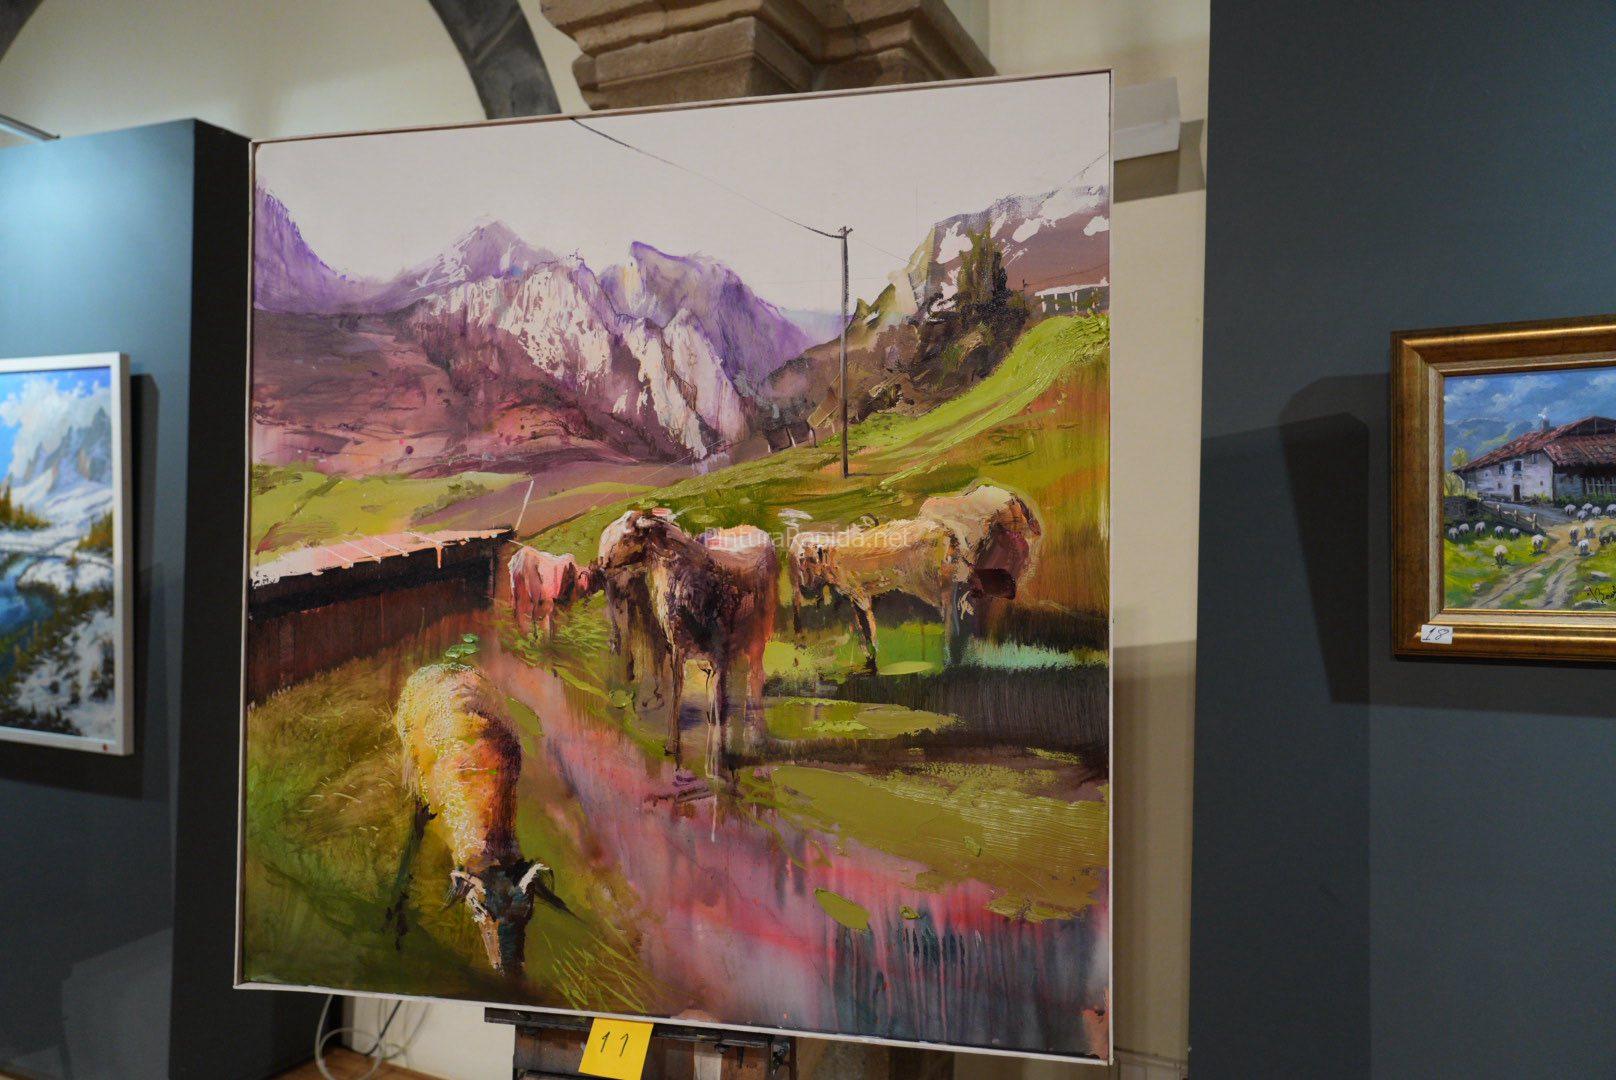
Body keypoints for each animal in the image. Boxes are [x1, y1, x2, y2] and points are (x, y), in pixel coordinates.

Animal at [385, 663, 564, 976]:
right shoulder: (422, 804)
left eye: (528, 910)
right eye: (479, 909)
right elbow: (411, 851)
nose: (509, 970)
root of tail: (442, 665)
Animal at [789, 518, 969, 674]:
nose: (805, 587)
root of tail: (945, 530)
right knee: (950, 602)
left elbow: (869, 623)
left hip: (925, 579)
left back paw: (950, 651)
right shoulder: (853, 597)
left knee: (947, 605)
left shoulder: (861, 594)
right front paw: (867, 653)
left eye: (808, 560)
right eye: (802, 560)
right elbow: (860, 625)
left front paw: (875, 652)